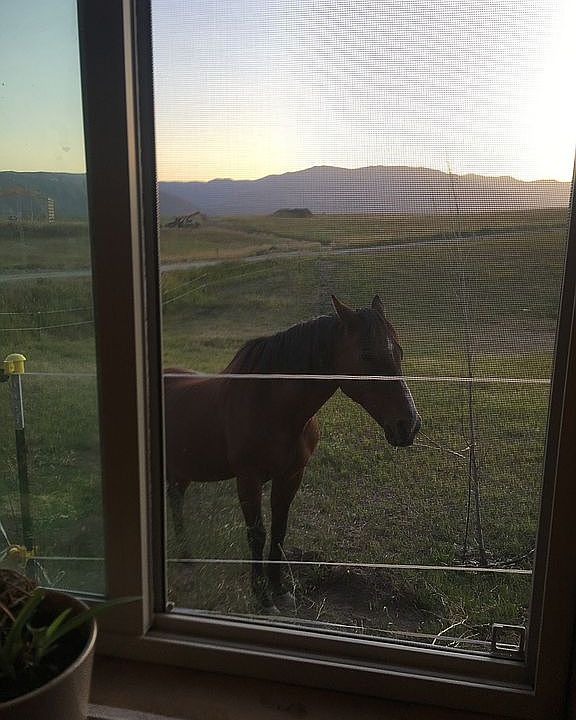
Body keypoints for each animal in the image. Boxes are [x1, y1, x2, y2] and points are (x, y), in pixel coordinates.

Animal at [164, 295, 421, 612]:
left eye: (399, 352)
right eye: (366, 355)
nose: (409, 425)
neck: (272, 407)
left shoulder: (290, 475)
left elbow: (279, 529)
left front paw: (279, 589)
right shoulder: (248, 480)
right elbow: (257, 535)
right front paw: (262, 597)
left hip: (181, 470)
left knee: (176, 500)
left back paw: (186, 559)